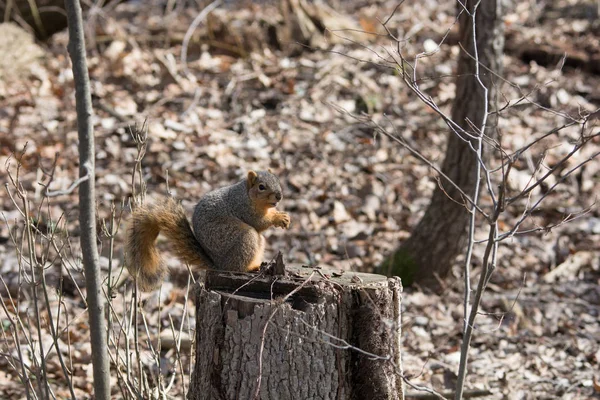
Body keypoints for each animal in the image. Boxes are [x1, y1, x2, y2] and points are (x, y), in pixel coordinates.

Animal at [127, 170, 292, 290]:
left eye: (277, 180)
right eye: (261, 187)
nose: (279, 196)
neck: (246, 194)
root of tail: (218, 265)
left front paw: (284, 216)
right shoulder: (243, 208)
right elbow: (259, 222)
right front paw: (278, 218)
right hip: (245, 237)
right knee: (237, 267)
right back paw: (251, 268)